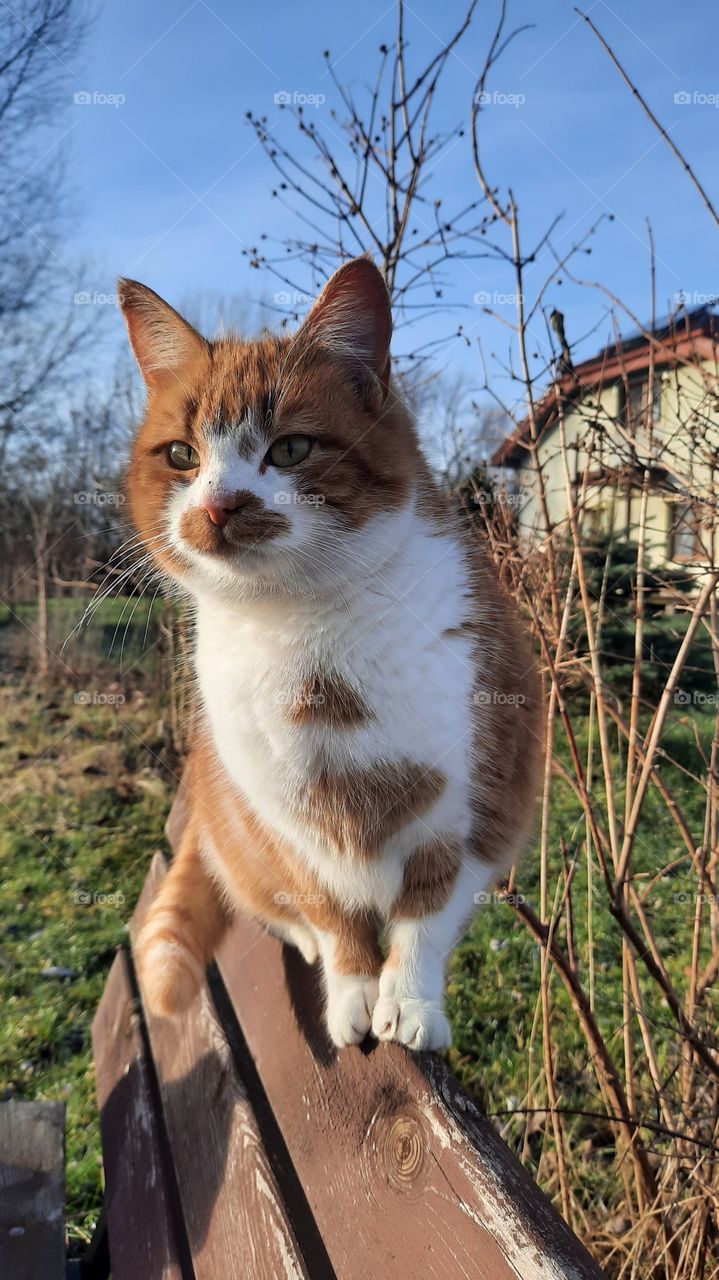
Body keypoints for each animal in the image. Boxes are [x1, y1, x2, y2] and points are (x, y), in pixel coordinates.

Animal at [120, 257, 539, 1049]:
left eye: (289, 448)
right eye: (183, 455)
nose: (218, 506)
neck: (303, 627)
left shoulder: (468, 808)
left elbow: (424, 913)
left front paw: (408, 1002)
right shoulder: (283, 824)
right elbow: (329, 912)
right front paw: (351, 991)